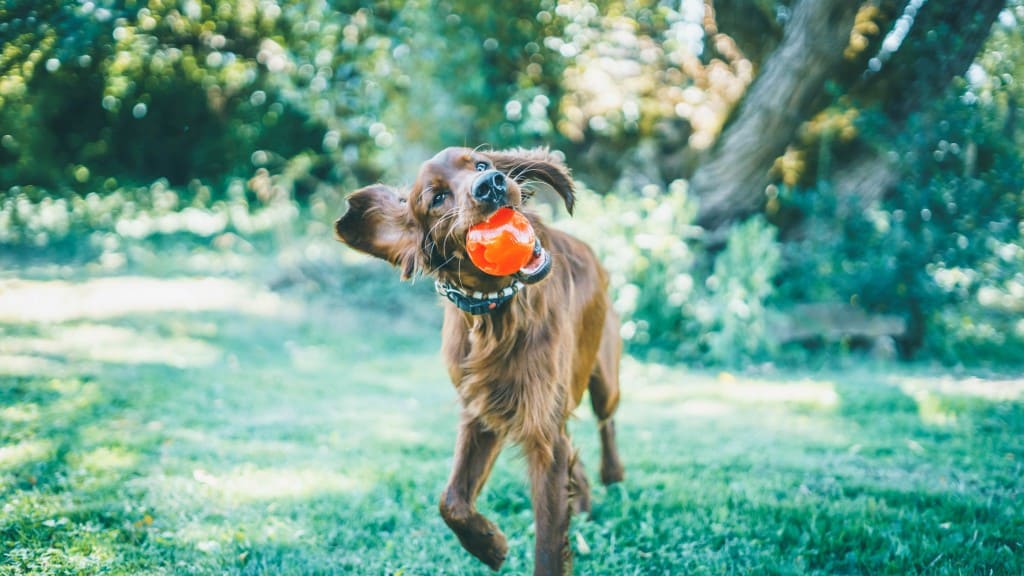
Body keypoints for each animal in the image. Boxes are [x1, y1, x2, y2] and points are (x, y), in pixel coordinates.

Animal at [335, 145, 622, 569]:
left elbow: (548, 543)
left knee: (607, 421)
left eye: (481, 165)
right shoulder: (482, 412)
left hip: (603, 376)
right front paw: (490, 544)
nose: (491, 185)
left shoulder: (542, 430)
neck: (496, 312)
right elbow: (450, 500)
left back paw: (613, 475)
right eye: (437, 198)